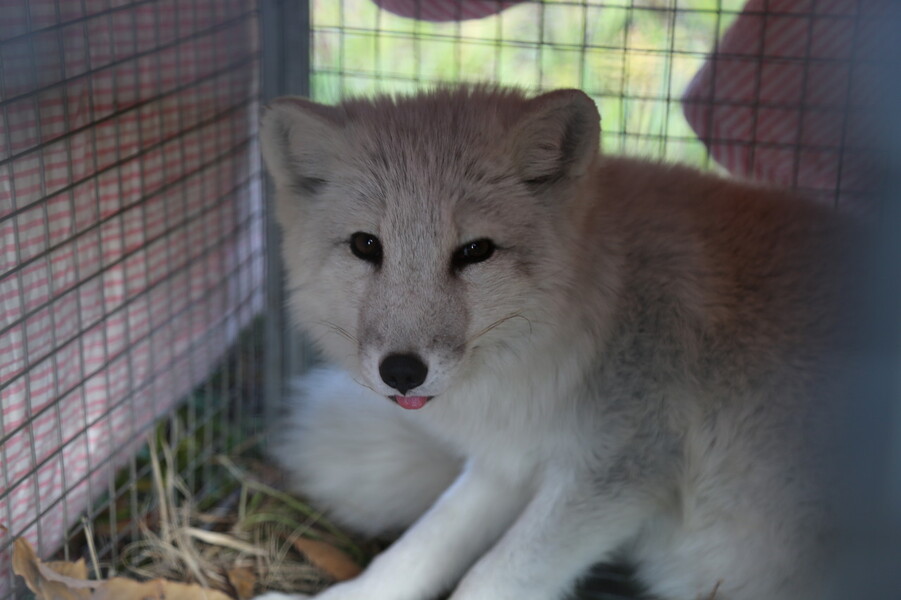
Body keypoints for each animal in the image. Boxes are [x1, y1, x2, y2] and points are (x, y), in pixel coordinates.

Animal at [255, 85, 852, 600]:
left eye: (475, 251)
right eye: (366, 245)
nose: (402, 372)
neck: (599, 316)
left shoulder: (620, 469)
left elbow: (491, 578)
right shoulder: (510, 461)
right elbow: (417, 550)